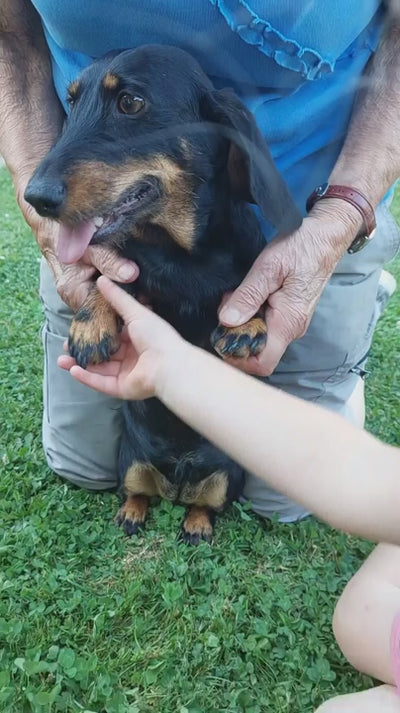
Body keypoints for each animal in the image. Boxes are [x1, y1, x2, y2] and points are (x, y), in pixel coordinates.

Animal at [25, 45, 302, 544]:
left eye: (131, 102)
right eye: (72, 102)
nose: (34, 198)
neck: (179, 254)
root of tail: (177, 476)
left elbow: (246, 290)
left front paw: (245, 324)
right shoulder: (129, 268)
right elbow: (110, 281)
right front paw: (91, 325)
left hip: (228, 474)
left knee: (207, 506)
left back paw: (196, 523)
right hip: (129, 461)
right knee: (137, 492)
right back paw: (132, 514)